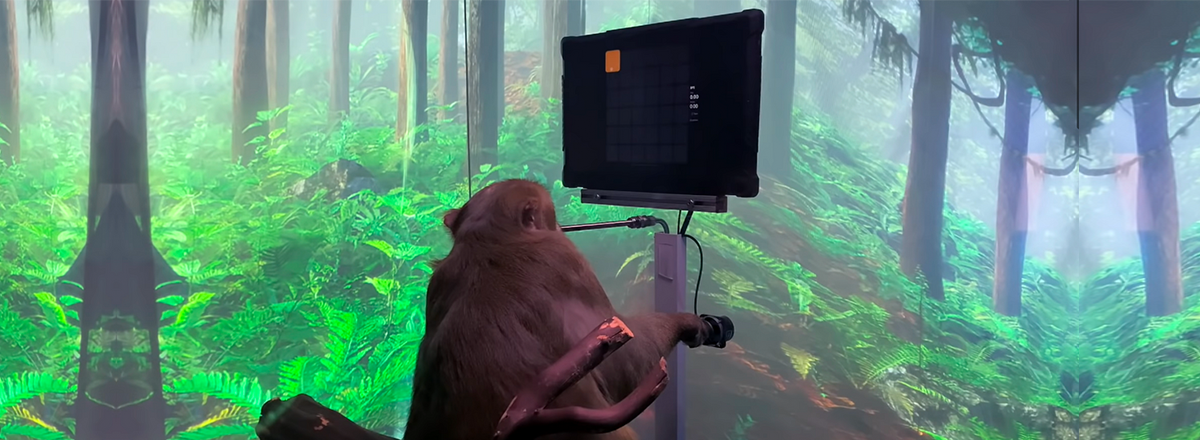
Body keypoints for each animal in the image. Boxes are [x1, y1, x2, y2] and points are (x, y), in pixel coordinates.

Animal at [402, 179, 715, 440]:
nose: (560, 226)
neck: (487, 241)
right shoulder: (566, 260)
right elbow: (627, 362)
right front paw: (688, 323)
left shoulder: (439, 280)